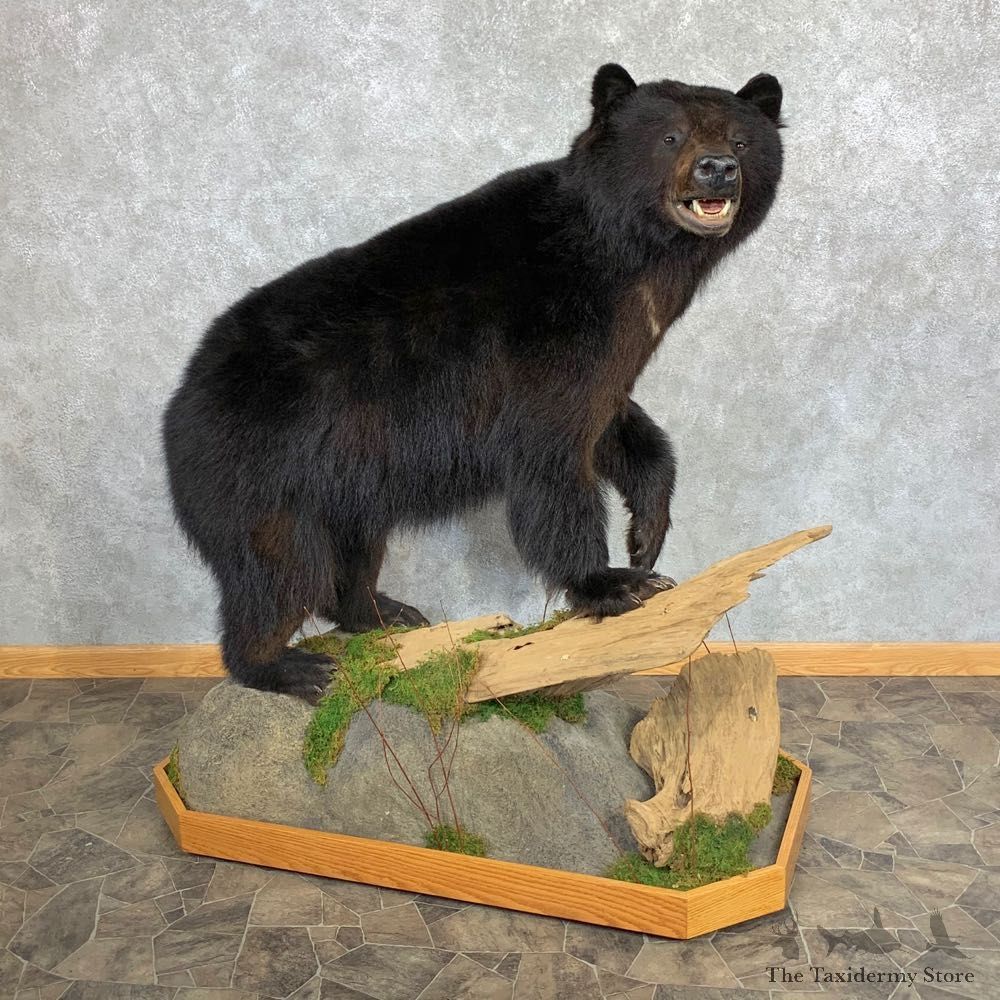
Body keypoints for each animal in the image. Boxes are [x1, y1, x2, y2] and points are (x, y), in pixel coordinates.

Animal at [163, 64, 784, 702]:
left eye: (740, 140)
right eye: (670, 137)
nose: (717, 168)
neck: (630, 261)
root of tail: (181, 397)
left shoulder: (614, 351)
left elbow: (616, 424)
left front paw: (648, 535)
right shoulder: (549, 332)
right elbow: (552, 457)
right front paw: (611, 581)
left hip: (346, 476)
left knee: (354, 548)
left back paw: (382, 611)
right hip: (265, 469)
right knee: (279, 570)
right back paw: (286, 665)